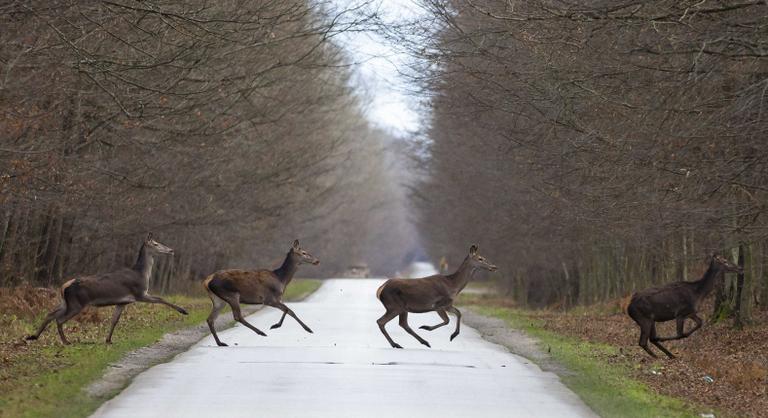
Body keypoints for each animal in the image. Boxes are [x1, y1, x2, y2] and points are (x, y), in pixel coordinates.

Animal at [24, 233, 187, 344]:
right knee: (59, 319)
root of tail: (64, 286)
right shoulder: (139, 293)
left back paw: (33, 336)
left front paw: (108, 340)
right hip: (77, 303)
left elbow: (114, 320)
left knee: (50, 314)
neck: (142, 274)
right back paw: (66, 341)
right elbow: (161, 298)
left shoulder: (123, 302)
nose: (171, 250)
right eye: (156, 244)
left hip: (66, 302)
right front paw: (183, 310)